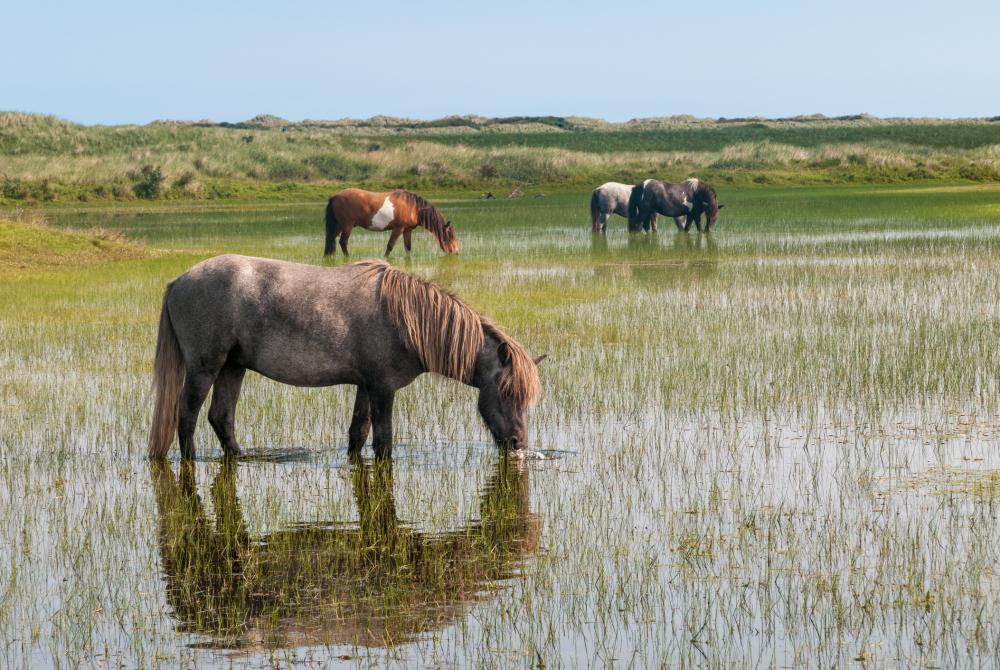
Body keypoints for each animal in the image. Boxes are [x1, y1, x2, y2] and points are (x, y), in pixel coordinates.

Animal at [146, 253, 548, 462]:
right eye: (507, 393)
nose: (519, 444)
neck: (406, 319)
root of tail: (178, 281)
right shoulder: (383, 389)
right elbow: (383, 440)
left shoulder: (366, 386)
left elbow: (357, 434)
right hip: (205, 368)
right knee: (187, 416)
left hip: (233, 367)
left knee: (221, 418)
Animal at [322, 189, 458, 258]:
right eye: (450, 235)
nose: (456, 252)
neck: (413, 207)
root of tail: (335, 196)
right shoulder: (398, 229)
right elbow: (390, 246)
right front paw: (385, 259)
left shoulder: (407, 230)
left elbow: (408, 247)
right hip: (347, 225)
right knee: (342, 242)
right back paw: (347, 257)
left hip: (339, 225)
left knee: (330, 239)